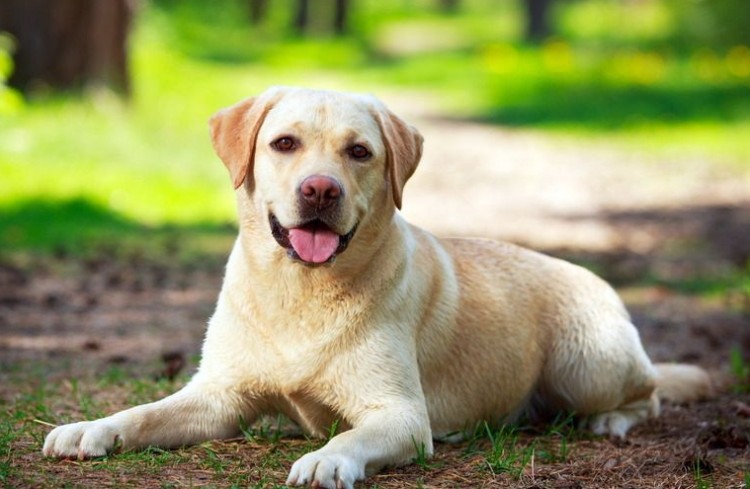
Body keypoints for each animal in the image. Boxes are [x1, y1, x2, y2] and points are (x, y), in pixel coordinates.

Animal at [42, 86, 716, 486]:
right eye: (283, 143)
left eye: (359, 152)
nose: (320, 189)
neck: (300, 292)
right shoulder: (218, 397)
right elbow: (144, 413)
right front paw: (91, 427)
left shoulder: (399, 414)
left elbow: (352, 433)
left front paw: (325, 457)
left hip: (587, 365)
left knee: (651, 393)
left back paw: (611, 422)